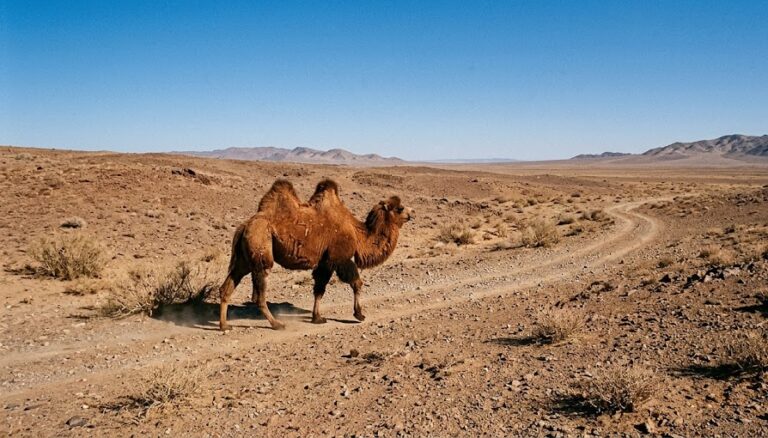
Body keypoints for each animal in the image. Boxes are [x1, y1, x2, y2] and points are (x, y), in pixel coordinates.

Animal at [218, 179, 413, 331]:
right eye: (400, 208)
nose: (412, 213)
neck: (358, 235)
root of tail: (244, 226)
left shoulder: (324, 261)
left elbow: (319, 289)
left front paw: (317, 317)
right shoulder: (339, 258)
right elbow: (356, 283)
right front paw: (359, 314)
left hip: (244, 258)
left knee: (228, 286)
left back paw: (224, 325)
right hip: (260, 248)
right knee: (258, 294)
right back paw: (277, 324)